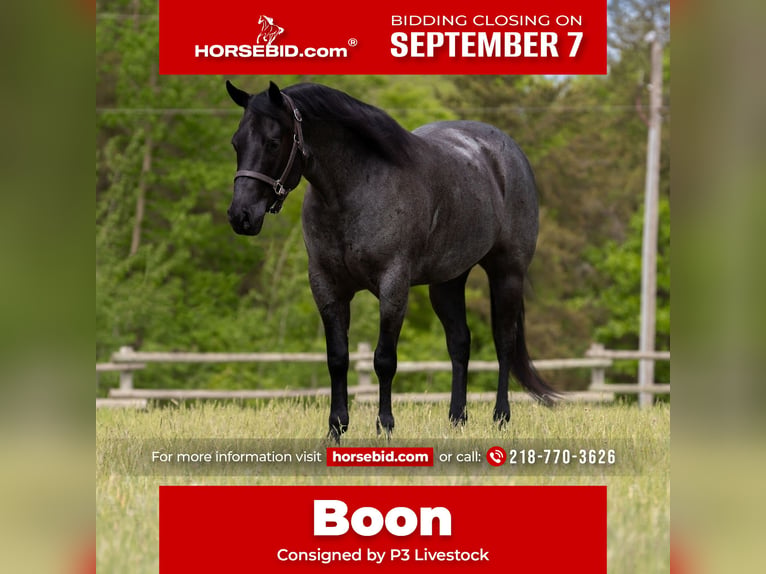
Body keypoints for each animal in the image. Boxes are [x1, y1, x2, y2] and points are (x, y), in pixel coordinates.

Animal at [225, 80, 559, 439]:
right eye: (236, 142)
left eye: (273, 142)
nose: (241, 216)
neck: (355, 189)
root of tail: (507, 152)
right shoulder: (326, 286)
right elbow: (337, 357)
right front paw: (336, 427)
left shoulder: (393, 286)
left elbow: (384, 359)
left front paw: (384, 425)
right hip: (448, 281)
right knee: (460, 342)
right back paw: (457, 418)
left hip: (507, 272)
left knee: (504, 341)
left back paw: (500, 417)